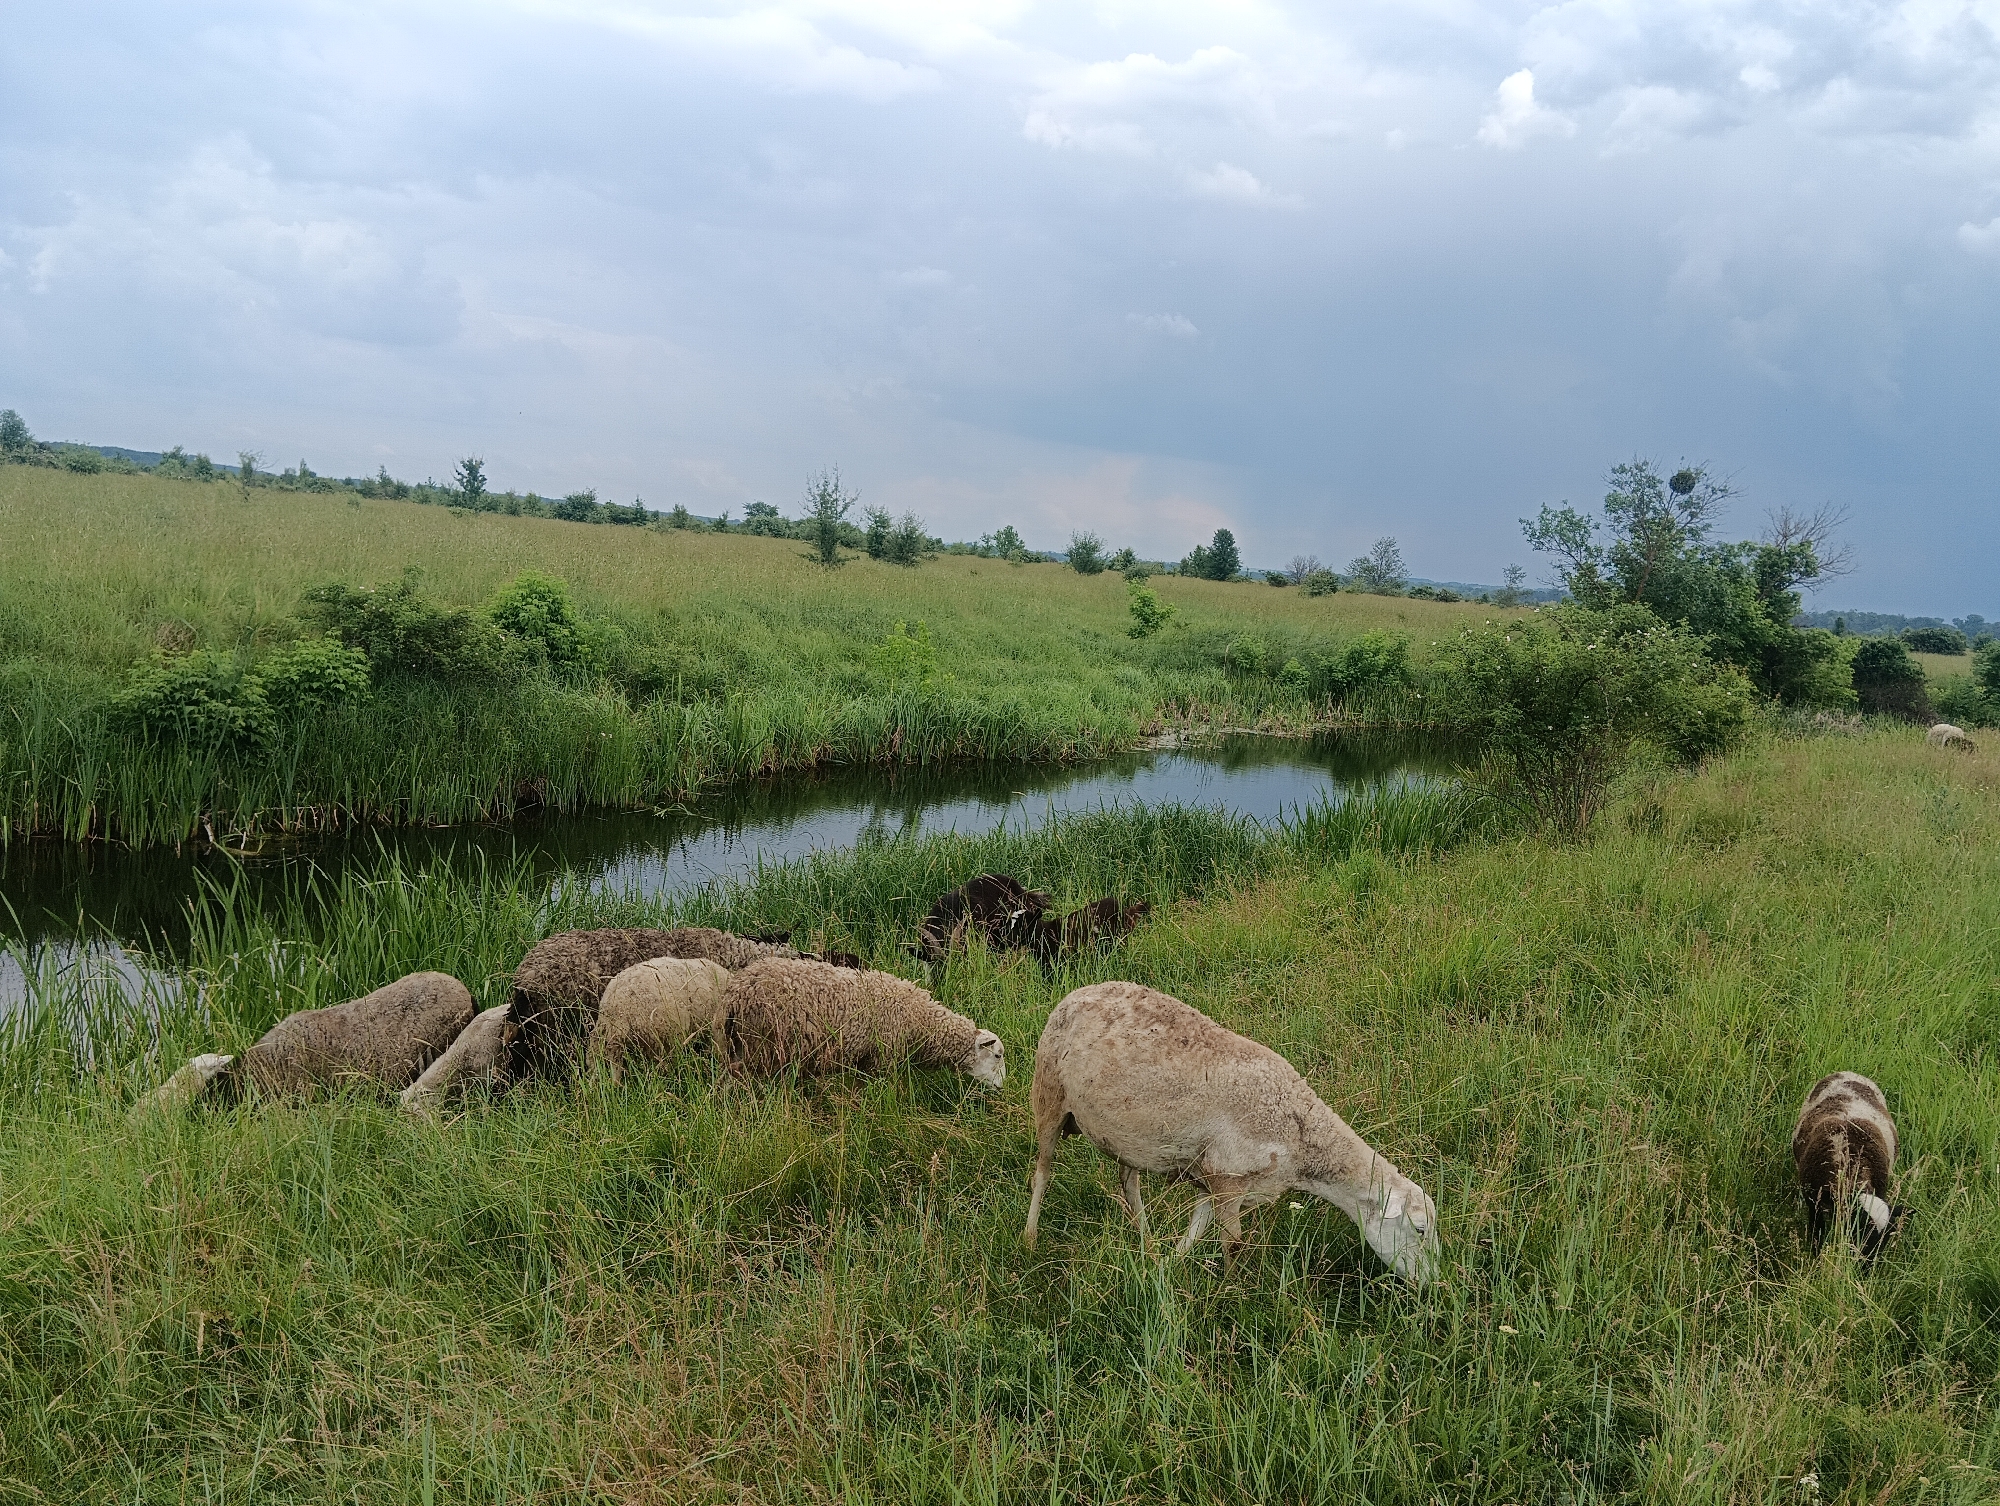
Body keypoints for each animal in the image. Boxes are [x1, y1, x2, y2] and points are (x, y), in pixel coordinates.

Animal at [721, 957, 1005, 1086]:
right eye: (997, 1055)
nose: (1002, 1088)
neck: (919, 1019)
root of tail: (736, 992)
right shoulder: (882, 1057)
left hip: (741, 1044)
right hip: (762, 1046)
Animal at [1022, 981, 1440, 1284]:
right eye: (1420, 1230)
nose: (1433, 1284)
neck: (1299, 1136)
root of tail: (1079, 991)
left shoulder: (1214, 1175)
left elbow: (1195, 1233)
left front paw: (1166, 1268)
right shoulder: (1228, 1176)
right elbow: (1233, 1244)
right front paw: (1233, 1294)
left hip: (1127, 1136)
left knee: (1128, 1181)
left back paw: (1147, 1242)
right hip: (1049, 1093)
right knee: (1042, 1172)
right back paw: (1030, 1238)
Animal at [1792, 1071, 1907, 1257]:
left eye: (1887, 1237)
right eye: (1860, 1228)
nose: (1867, 1261)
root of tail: (1848, 1073)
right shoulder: (1813, 1202)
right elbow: (1817, 1232)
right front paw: (1815, 1257)